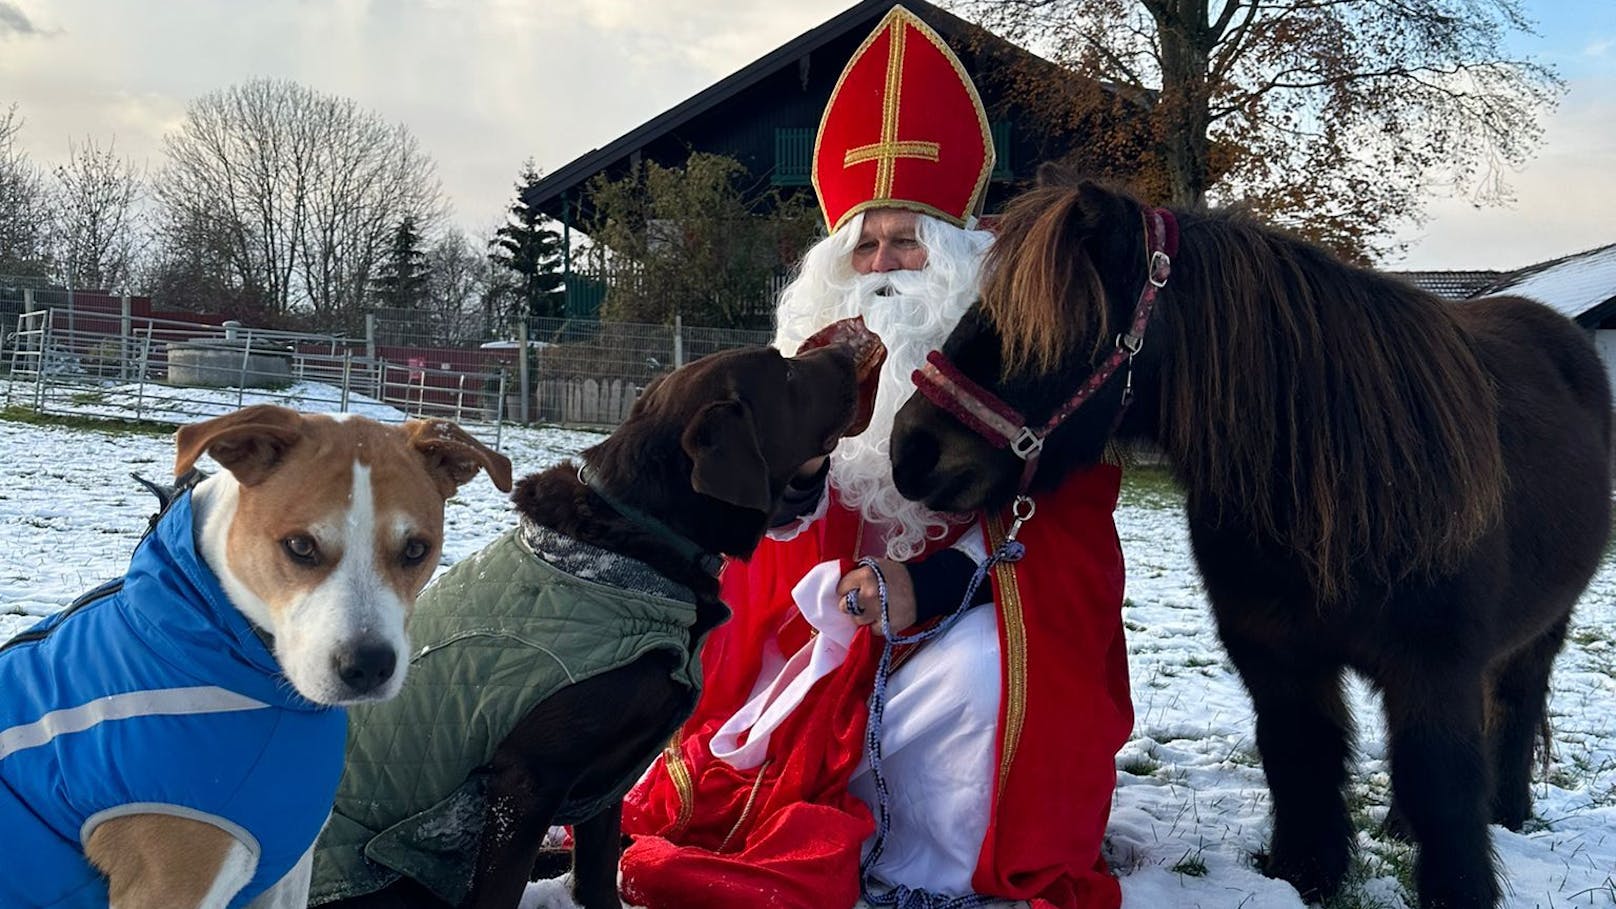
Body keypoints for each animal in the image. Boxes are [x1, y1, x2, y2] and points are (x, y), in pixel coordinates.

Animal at [892, 177, 1609, 905]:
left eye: (1053, 328)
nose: (909, 449)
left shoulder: (1434, 668)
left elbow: (1443, 785)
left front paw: (1460, 888)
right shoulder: (1278, 657)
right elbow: (1301, 760)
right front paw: (1307, 873)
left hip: (1540, 631)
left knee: (1517, 702)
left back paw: (1508, 811)